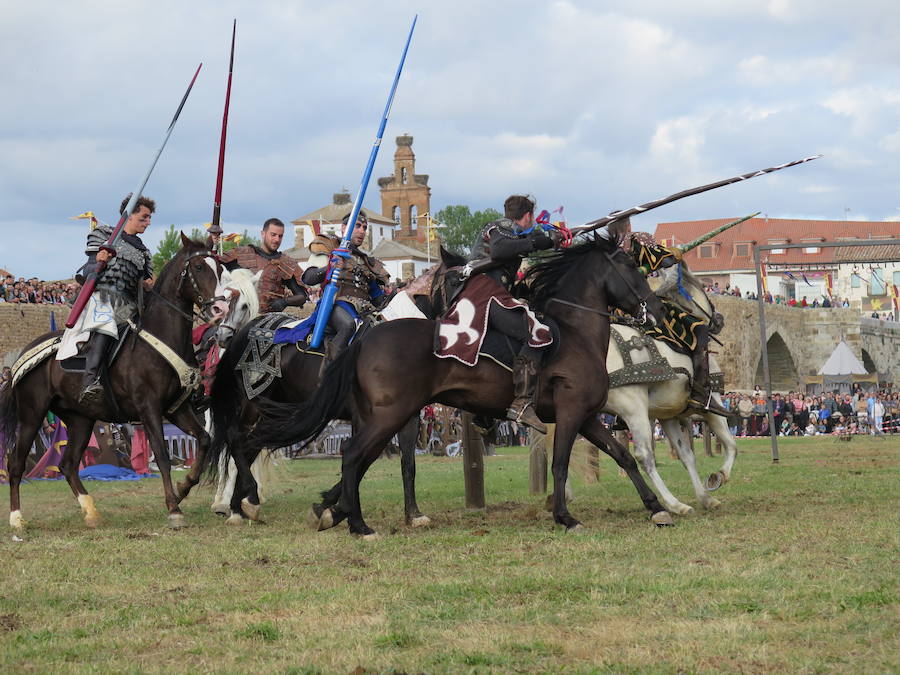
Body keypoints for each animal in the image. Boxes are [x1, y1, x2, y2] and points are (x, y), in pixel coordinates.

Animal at [0, 238, 225, 532]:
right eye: (198, 267)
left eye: (219, 268)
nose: (220, 309)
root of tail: (23, 355)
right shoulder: (149, 409)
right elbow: (162, 455)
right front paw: (174, 508)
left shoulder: (177, 409)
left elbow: (205, 440)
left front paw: (182, 488)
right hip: (32, 415)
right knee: (16, 463)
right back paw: (16, 519)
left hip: (80, 420)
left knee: (68, 466)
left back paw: (91, 512)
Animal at [246, 235, 676, 540]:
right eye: (630, 267)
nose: (656, 310)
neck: (575, 334)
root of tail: (364, 338)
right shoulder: (571, 415)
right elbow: (560, 463)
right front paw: (565, 517)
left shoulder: (586, 416)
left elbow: (624, 456)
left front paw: (657, 508)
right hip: (387, 416)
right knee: (352, 456)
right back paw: (358, 526)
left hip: (383, 416)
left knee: (358, 459)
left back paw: (338, 513)